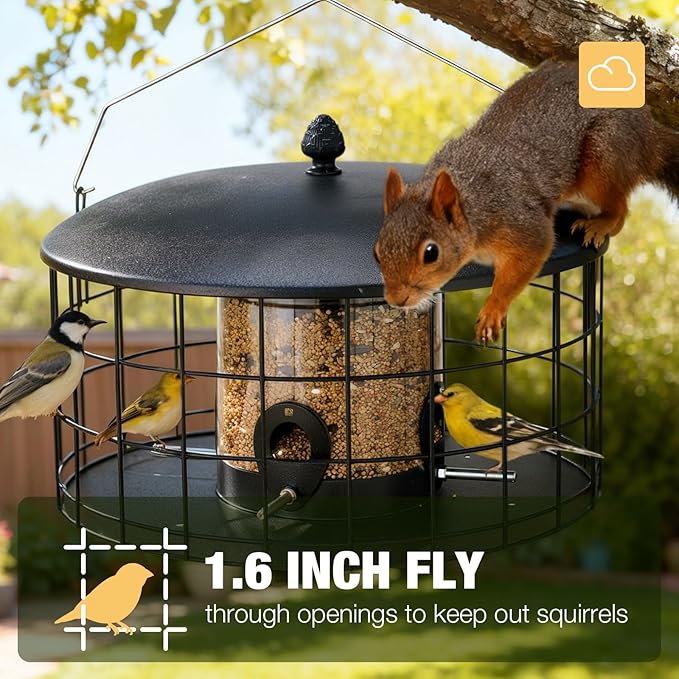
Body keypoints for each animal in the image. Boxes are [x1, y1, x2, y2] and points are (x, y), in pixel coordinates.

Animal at [373, 59, 679, 343]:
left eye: (431, 253)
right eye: (377, 252)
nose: (396, 299)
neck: (474, 203)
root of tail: (651, 135)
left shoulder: (521, 222)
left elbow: (526, 261)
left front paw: (492, 310)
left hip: (605, 156)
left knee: (620, 209)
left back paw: (602, 224)